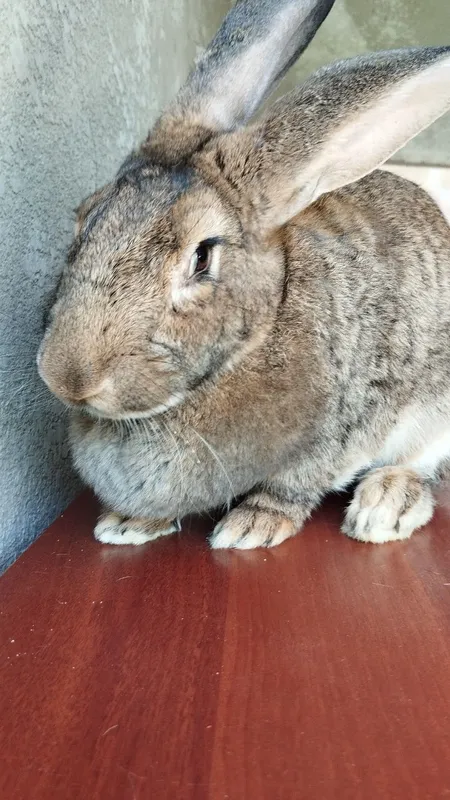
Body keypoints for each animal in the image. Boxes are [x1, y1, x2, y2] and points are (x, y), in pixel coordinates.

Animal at [37, 0, 450, 549]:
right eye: (84, 219)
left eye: (202, 258)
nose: (67, 379)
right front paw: (127, 523)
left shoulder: (344, 426)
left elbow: (296, 482)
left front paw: (251, 526)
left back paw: (384, 507)